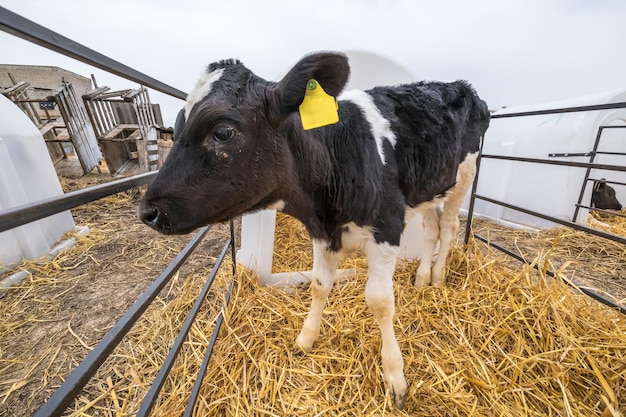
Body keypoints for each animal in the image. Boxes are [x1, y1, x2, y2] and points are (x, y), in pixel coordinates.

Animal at [139, 51, 490, 406]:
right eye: (176, 127)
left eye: (223, 132)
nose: (148, 211)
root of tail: (460, 86)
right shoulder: (322, 233)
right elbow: (320, 285)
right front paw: (305, 339)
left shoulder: (388, 225)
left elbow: (379, 300)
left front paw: (395, 375)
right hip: (431, 186)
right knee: (432, 227)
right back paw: (421, 278)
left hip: (465, 173)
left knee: (448, 226)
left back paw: (438, 276)